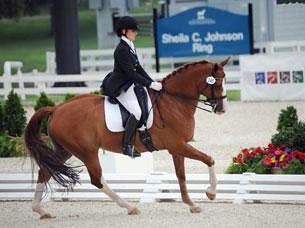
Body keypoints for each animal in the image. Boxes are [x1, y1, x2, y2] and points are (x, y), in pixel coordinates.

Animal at [24, 56, 228, 217]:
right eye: (217, 83)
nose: (222, 109)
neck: (173, 101)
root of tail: (56, 108)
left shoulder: (177, 148)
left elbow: (181, 176)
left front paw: (191, 204)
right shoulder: (177, 145)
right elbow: (209, 159)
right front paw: (211, 193)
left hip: (65, 150)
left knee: (45, 172)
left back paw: (40, 210)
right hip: (87, 152)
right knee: (97, 180)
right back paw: (130, 207)